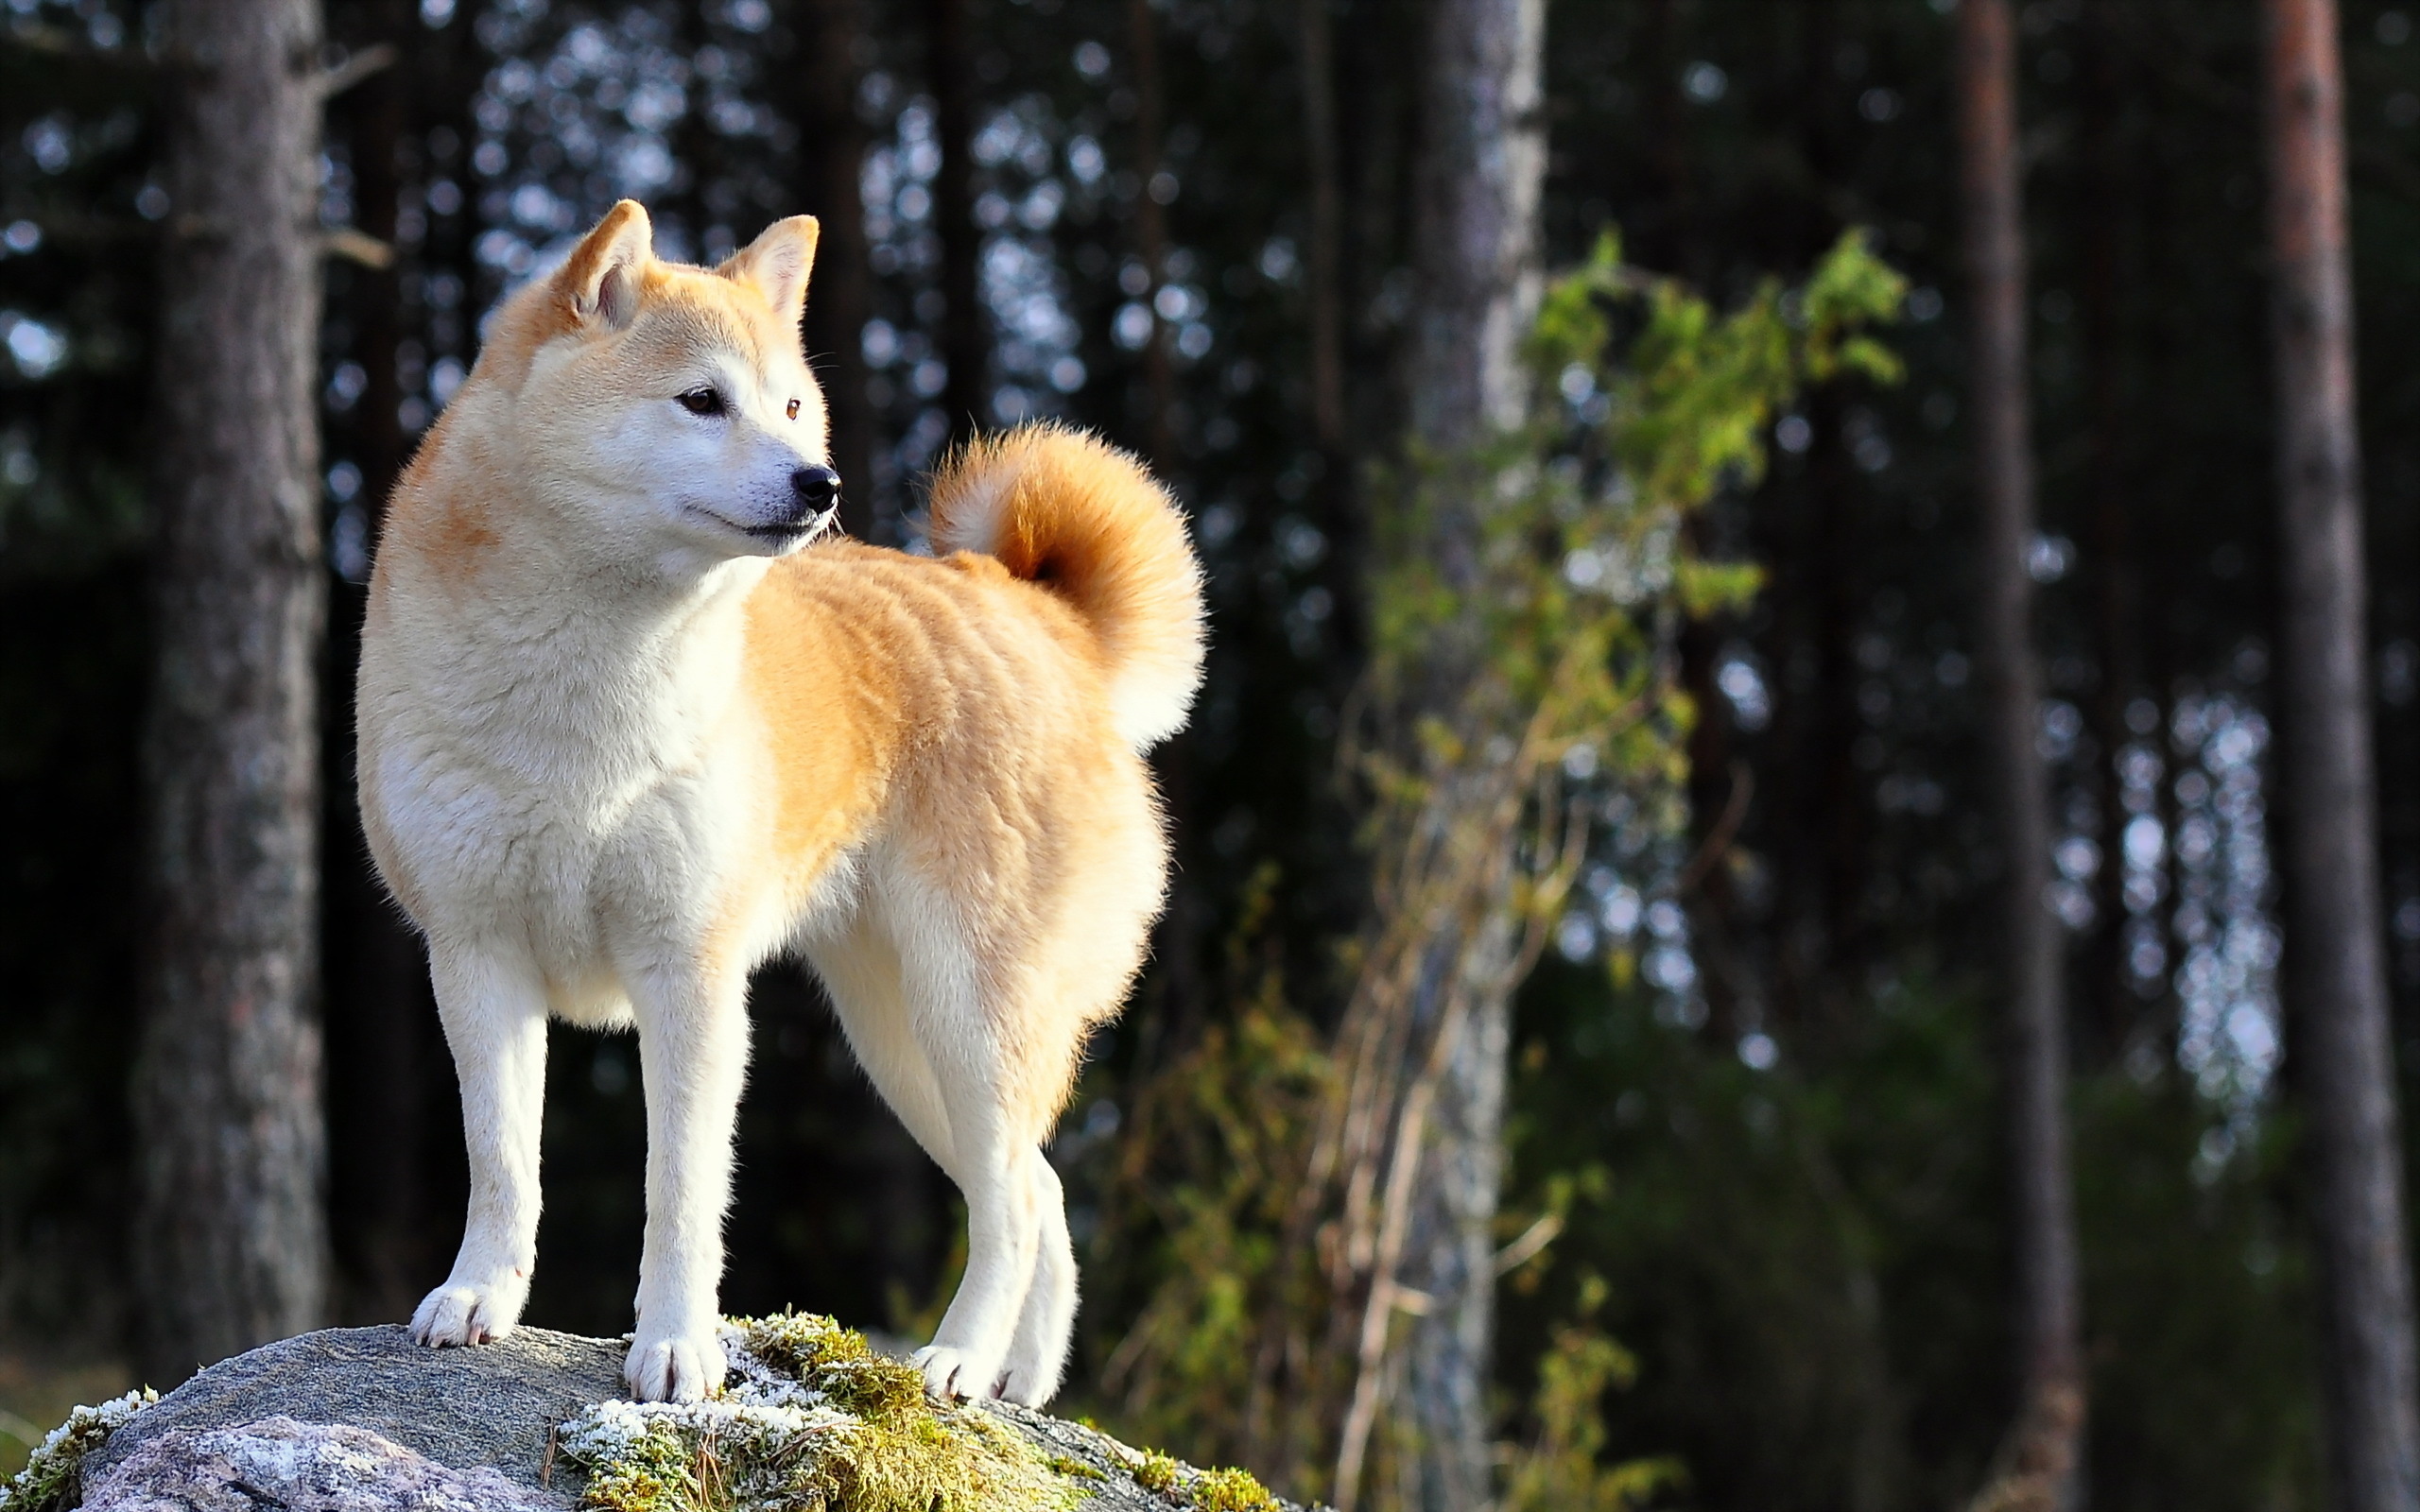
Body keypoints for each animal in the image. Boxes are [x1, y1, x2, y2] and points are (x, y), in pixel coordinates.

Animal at [353, 197, 1204, 1402]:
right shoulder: (477, 956)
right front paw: (480, 1299)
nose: (821, 484)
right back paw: (1023, 1381)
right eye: (702, 399)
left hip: (974, 1013)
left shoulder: (691, 973)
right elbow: (503, 1163)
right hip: (902, 1041)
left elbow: (679, 1193)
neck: (584, 693)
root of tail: (1046, 621)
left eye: (793, 405)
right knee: (1038, 1192)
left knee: (1011, 1206)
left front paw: (675, 1348)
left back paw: (956, 1361)